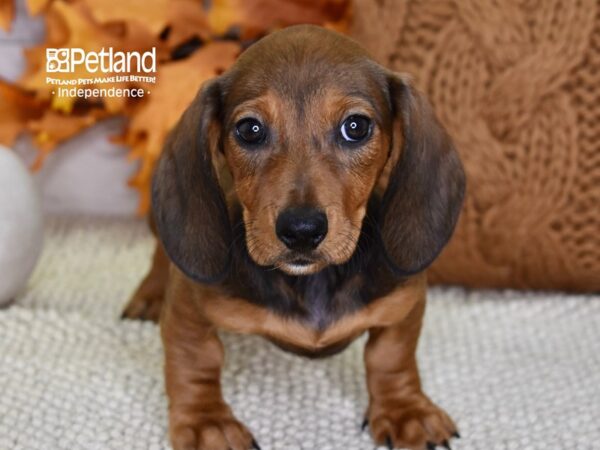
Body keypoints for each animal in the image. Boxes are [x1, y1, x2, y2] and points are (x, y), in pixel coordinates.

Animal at [124, 23, 466, 450]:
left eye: (356, 127)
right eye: (250, 129)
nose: (301, 230)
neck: (311, 283)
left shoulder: (404, 300)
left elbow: (390, 355)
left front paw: (406, 412)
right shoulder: (189, 305)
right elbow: (196, 361)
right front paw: (206, 423)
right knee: (161, 254)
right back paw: (149, 294)